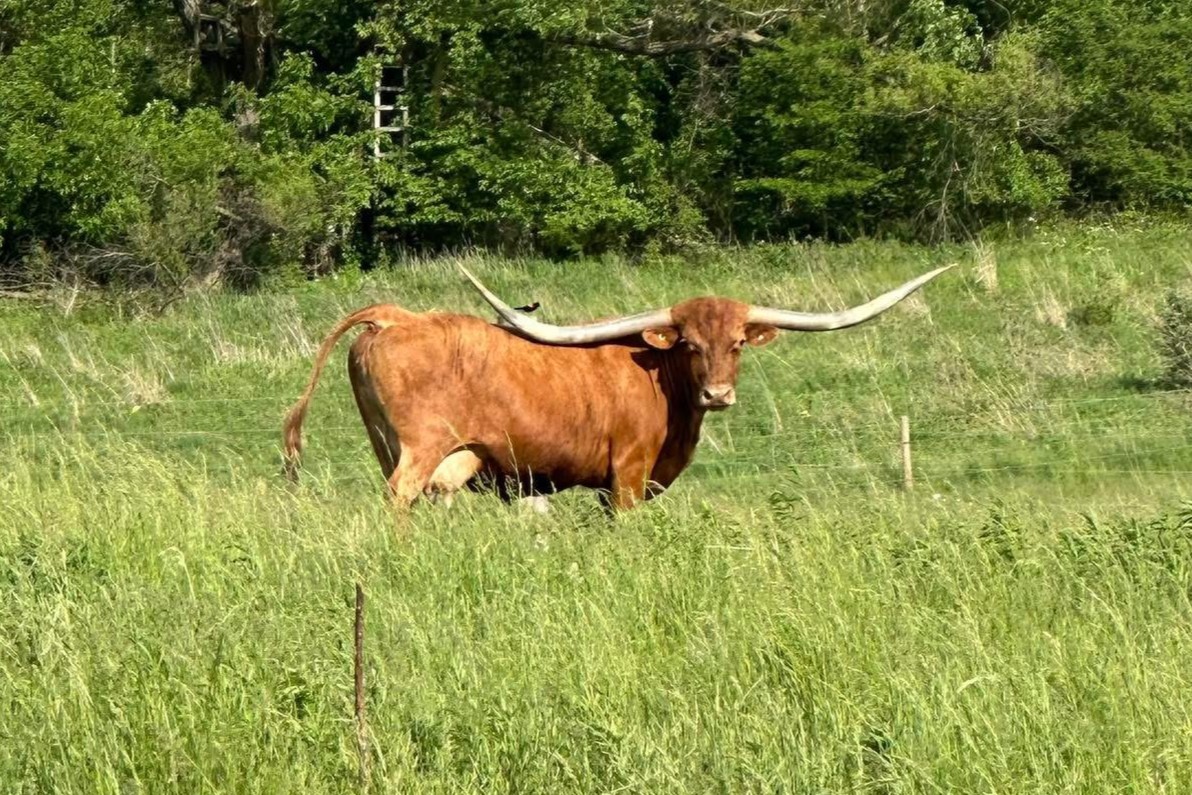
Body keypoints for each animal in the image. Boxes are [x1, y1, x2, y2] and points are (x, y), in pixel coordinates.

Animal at [282, 264, 952, 510]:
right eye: (689, 343)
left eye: (737, 343)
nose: (718, 395)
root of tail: (396, 315)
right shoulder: (627, 474)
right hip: (419, 448)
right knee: (400, 498)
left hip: (387, 443)